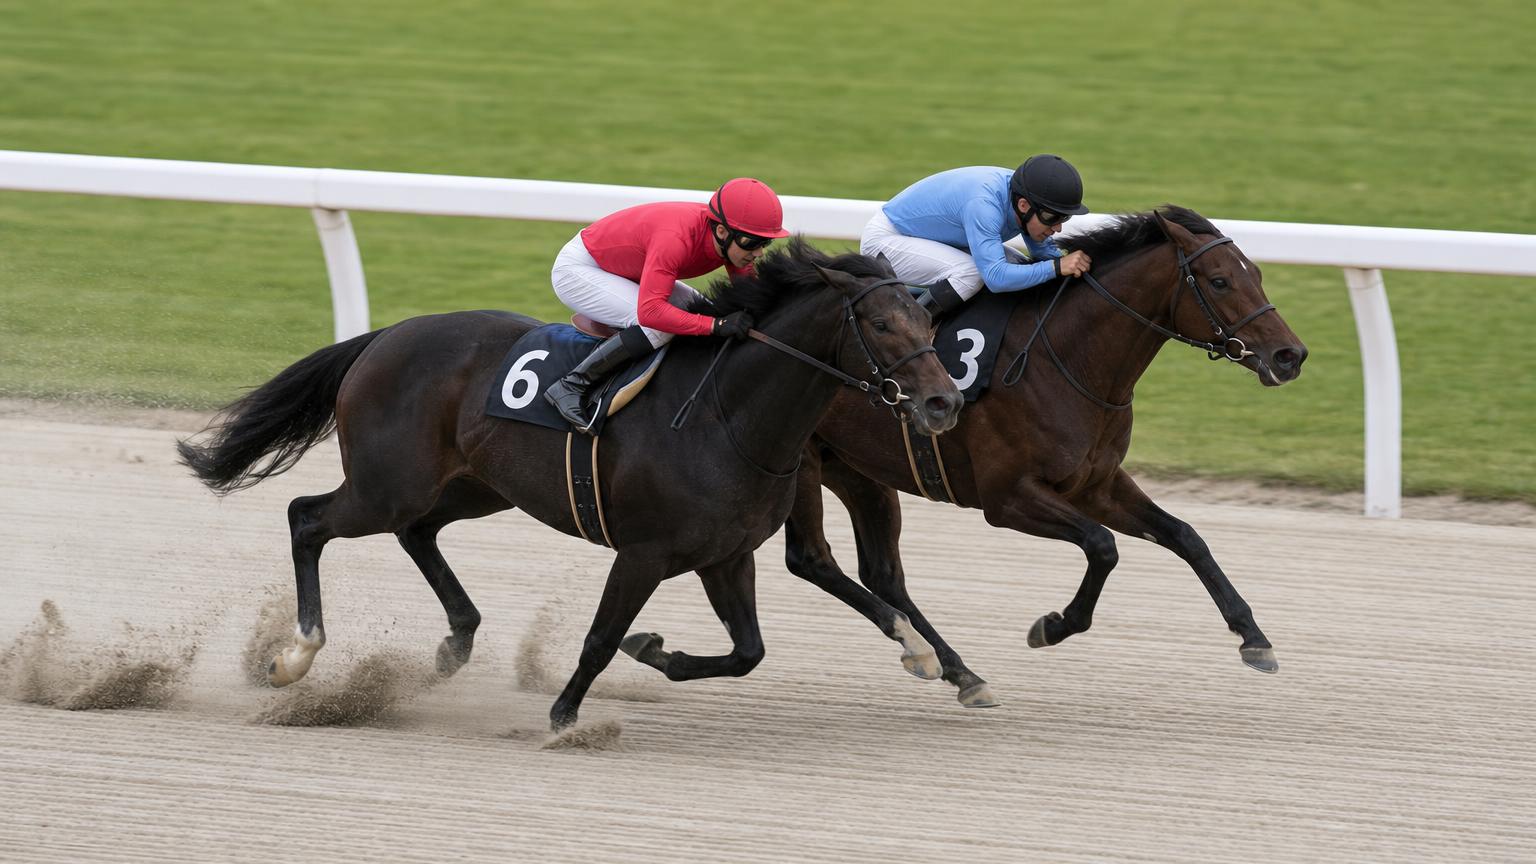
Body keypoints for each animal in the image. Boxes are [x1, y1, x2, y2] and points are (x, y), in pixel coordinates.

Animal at [176, 239, 964, 730]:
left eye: (927, 319)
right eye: (883, 324)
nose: (942, 402)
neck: (728, 413)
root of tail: (385, 337)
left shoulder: (725, 554)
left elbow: (747, 653)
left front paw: (656, 651)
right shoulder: (644, 552)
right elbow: (598, 636)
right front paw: (564, 718)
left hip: (474, 485)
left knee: (416, 531)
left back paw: (456, 641)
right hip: (386, 482)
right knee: (307, 517)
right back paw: (295, 655)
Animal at [779, 207, 1308, 707]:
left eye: (1257, 273)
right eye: (1220, 280)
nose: (1290, 355)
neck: (1068, 362)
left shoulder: (1097, 485)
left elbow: (1186, 536)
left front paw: (1254, 637)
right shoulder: (1007, 498)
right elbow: (1102, 545)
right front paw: (1053, 626)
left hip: (856, 470)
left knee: (883, 574)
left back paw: (960, 672)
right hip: (798, 464)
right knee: (812, 559)